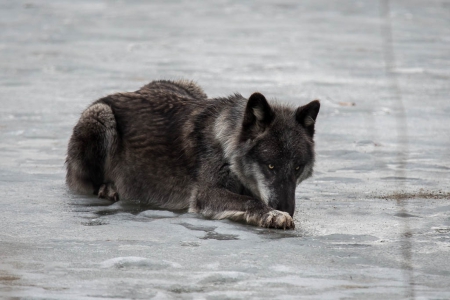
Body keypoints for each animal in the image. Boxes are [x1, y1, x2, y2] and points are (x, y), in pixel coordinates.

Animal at [67, 78, 320, 229]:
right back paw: (107, 189)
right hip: (100, 114)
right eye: (271, 166)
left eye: (297, 168)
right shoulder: (206, 193)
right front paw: (274, 215)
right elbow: (249, 201)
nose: (287, 209)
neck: (225, 145)